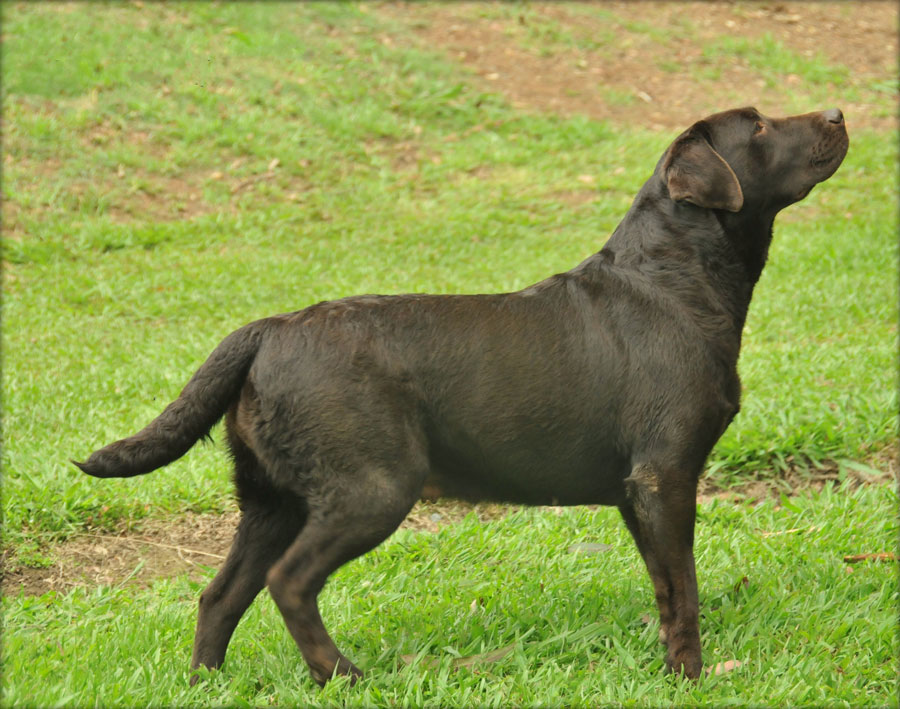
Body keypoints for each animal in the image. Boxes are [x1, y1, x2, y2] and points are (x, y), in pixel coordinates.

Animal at [74, 108, 848, 684]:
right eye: (758, 126)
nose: (838, 113)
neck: (674, 278)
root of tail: (266, 329)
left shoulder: (640, 491)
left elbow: (664, 584)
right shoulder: (666, 474)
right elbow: (684, 589)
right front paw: (691, 675)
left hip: (271, 498)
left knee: (221, 594)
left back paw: (207, 682)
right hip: (372, 486)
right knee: (288, 582)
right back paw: (343, 676)